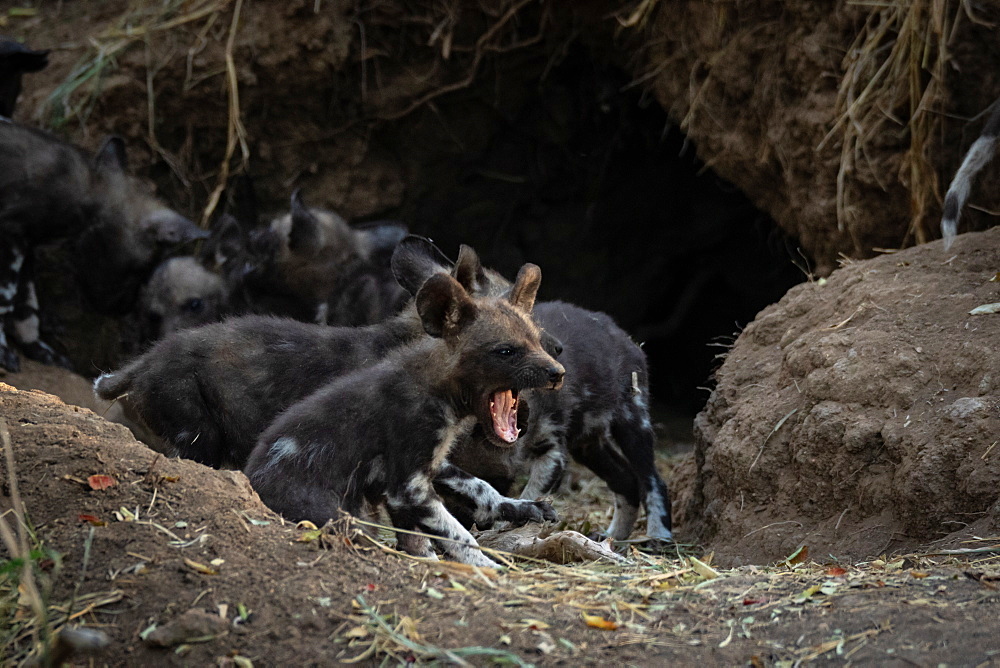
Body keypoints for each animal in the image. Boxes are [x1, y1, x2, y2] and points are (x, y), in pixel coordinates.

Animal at [0, 123, 203, 374]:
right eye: (142, 268)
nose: (125, 308)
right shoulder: (10, 239)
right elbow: (6, 300)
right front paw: (3, 351)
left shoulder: (26, 246)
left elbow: (26, 307)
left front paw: (38, 349)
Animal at [94, 237, 560, 528]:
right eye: (510, 345)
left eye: (533, 326)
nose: (558, 355)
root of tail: (145, 360)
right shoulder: (407, 449)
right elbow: (471, 484)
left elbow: (480, 486)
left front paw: (522, 508)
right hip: (198, 438)